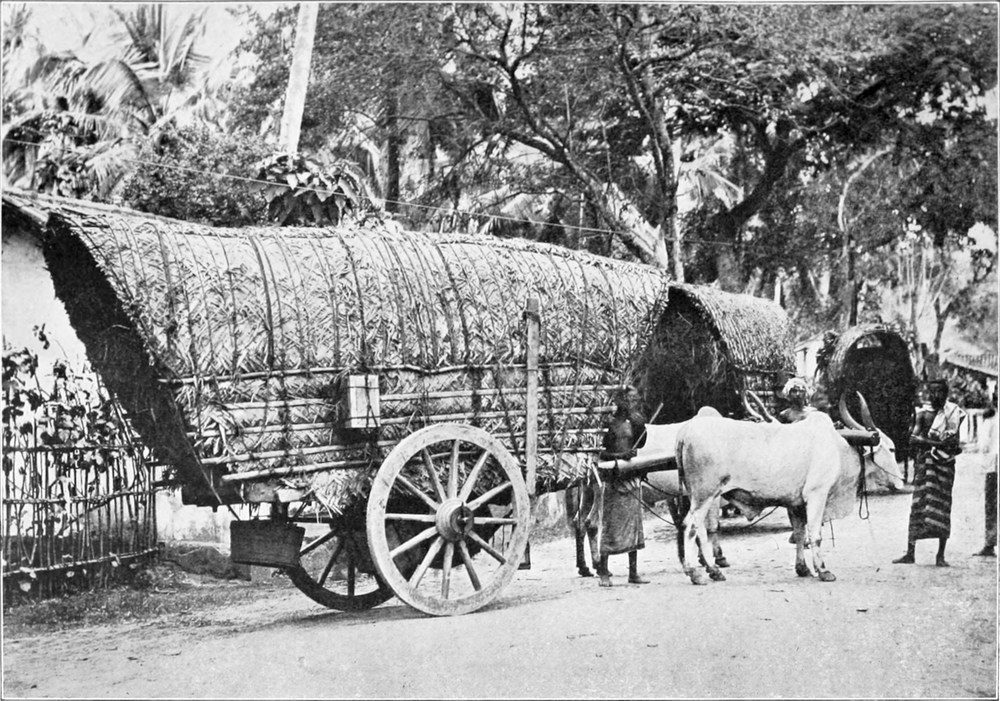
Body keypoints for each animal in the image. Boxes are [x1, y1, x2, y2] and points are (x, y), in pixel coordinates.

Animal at [675, 392, 900, 585]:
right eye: (891, 449)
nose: (901, 480)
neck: (839, 447)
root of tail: (685, 431)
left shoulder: (795, 504)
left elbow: (799, 534)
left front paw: (803, 568)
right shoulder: (817, 495)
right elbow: (815, 534)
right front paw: (823, 570)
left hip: (700, 496)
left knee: (698, 528)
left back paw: (713, 571)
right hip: (705, 495)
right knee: (691, 526)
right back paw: (695, 573)